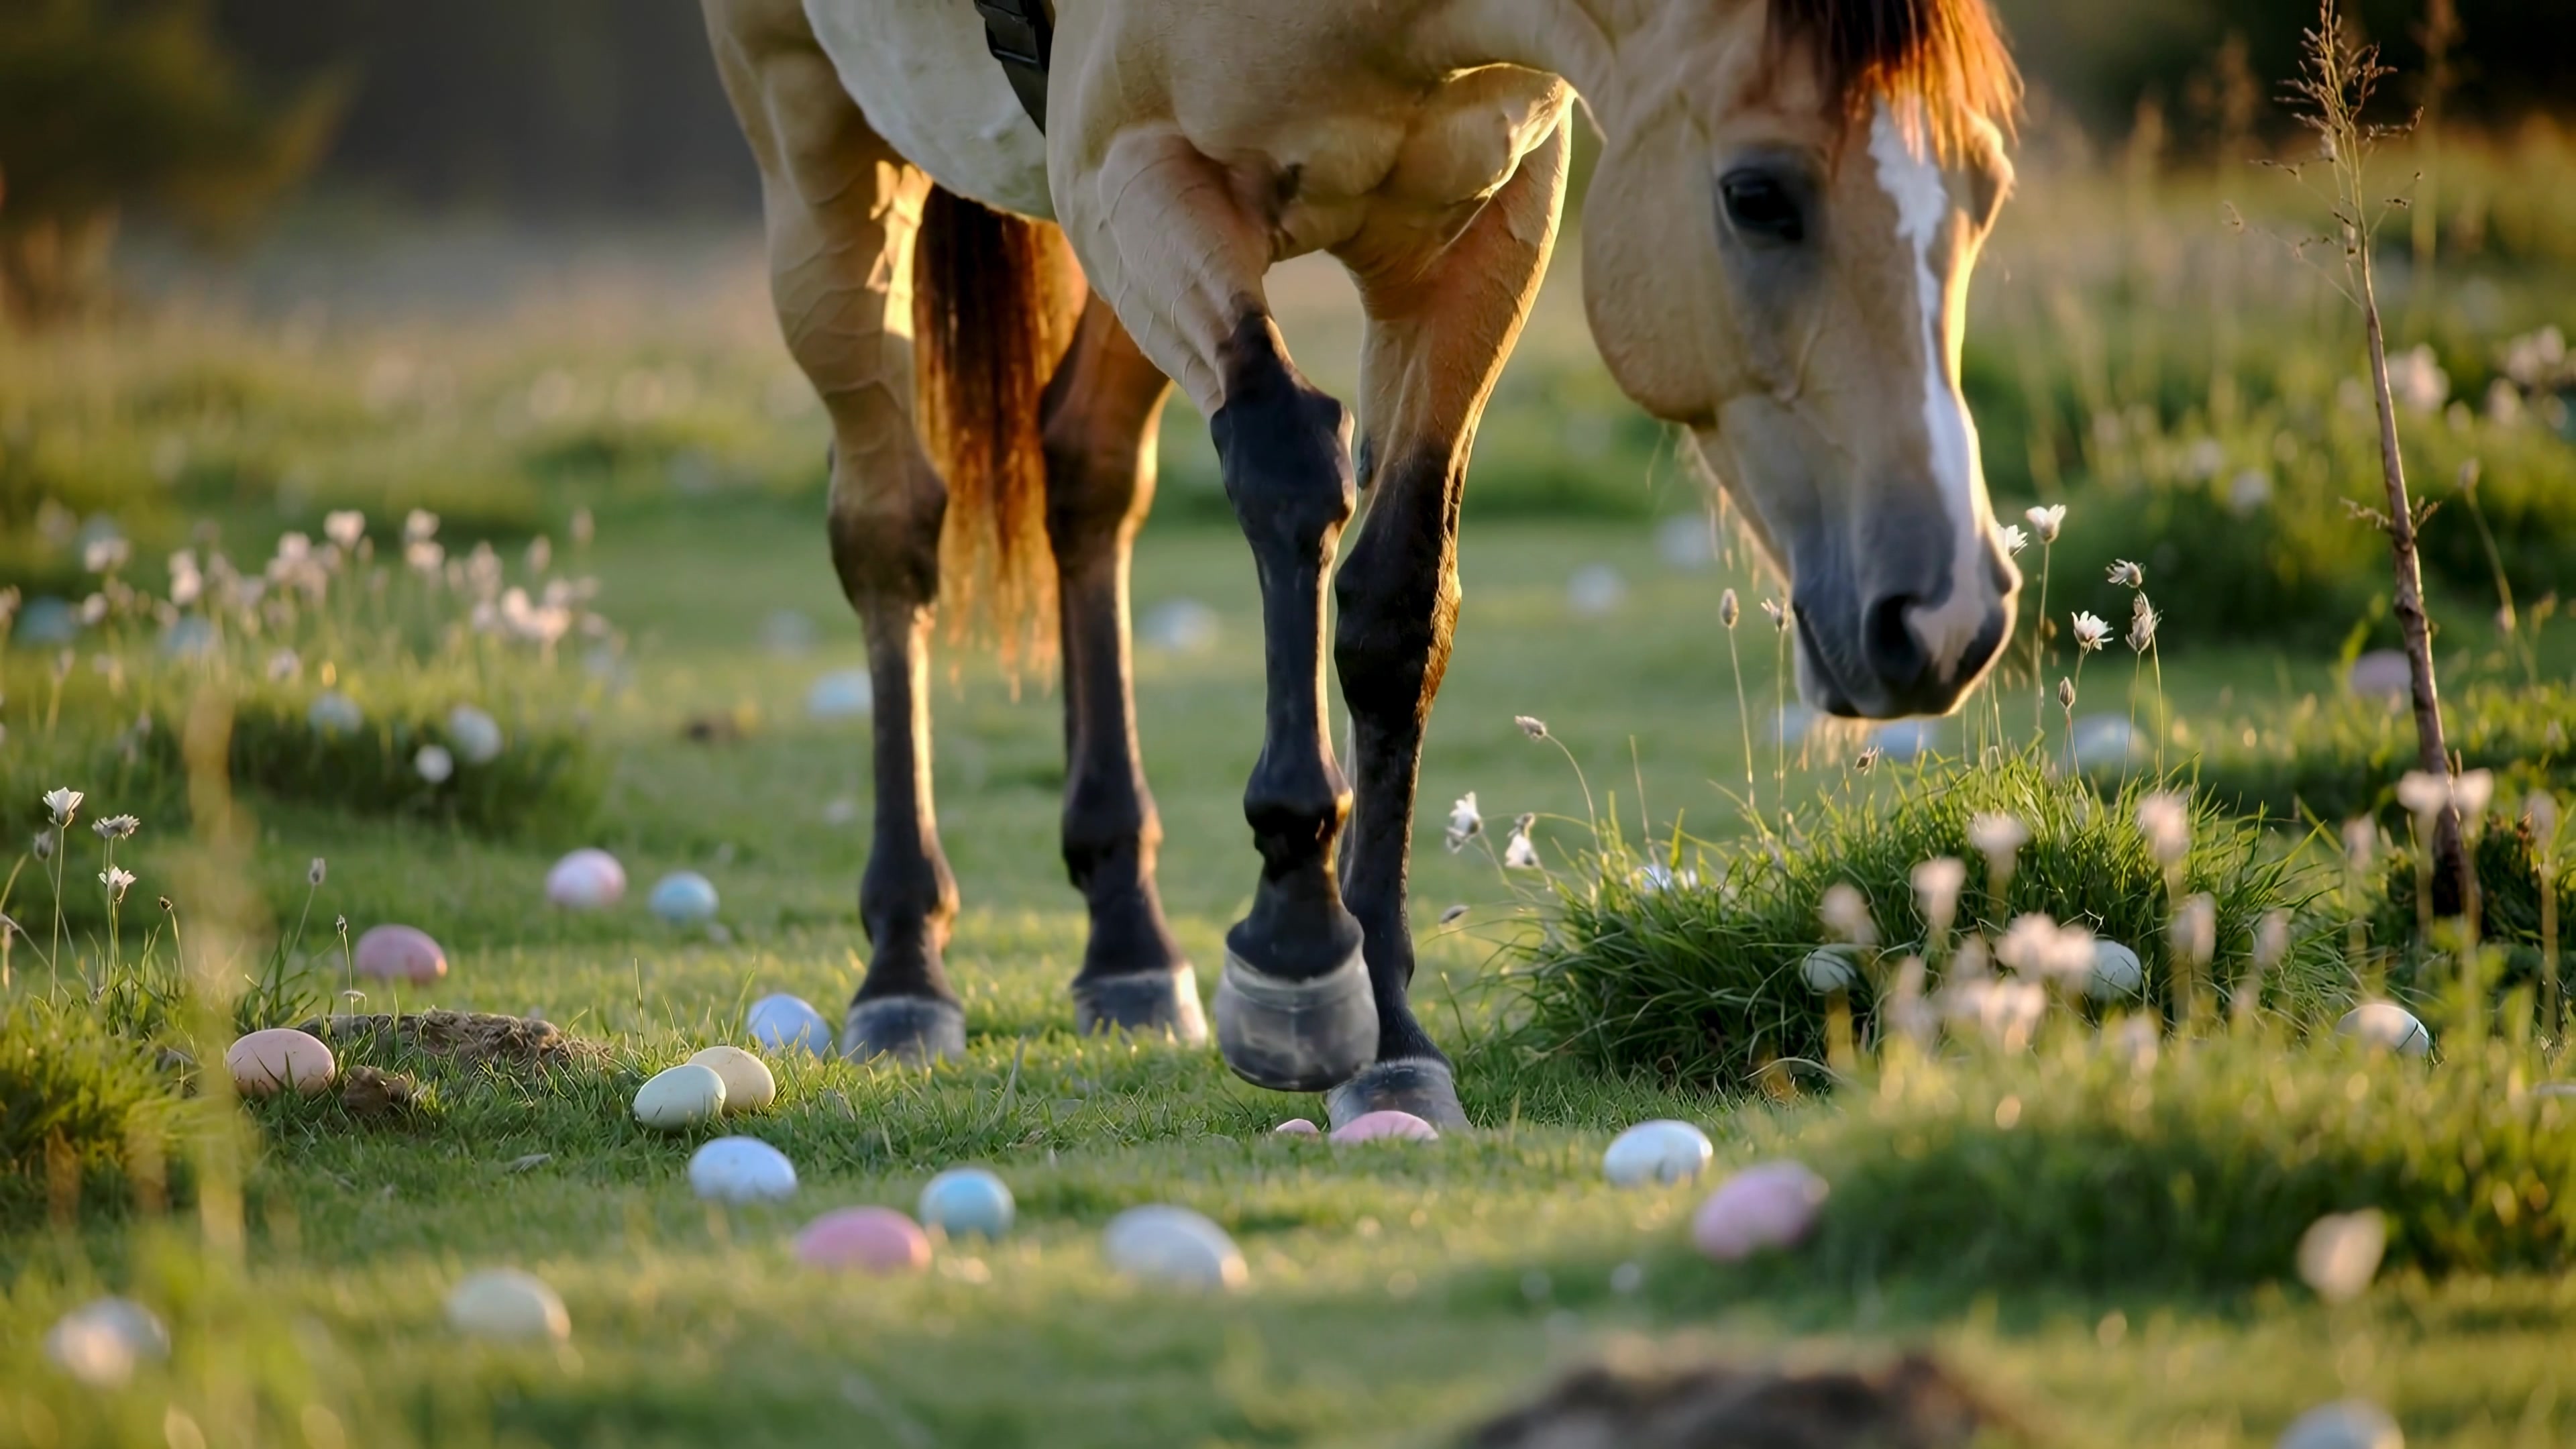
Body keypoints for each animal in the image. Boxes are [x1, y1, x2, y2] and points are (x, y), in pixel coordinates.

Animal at [700, 0, 2022, 1130]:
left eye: (1988, 193)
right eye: (1756, 196)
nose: (1944, 617)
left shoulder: (1486, 231)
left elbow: (1397, 602)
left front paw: (1389, 1038)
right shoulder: (1138, 171)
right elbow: (1289, 461)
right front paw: (1295, 942)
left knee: (1087, 477)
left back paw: (1128, 946)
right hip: (811, 139)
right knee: (891, 530)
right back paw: (903, 964)